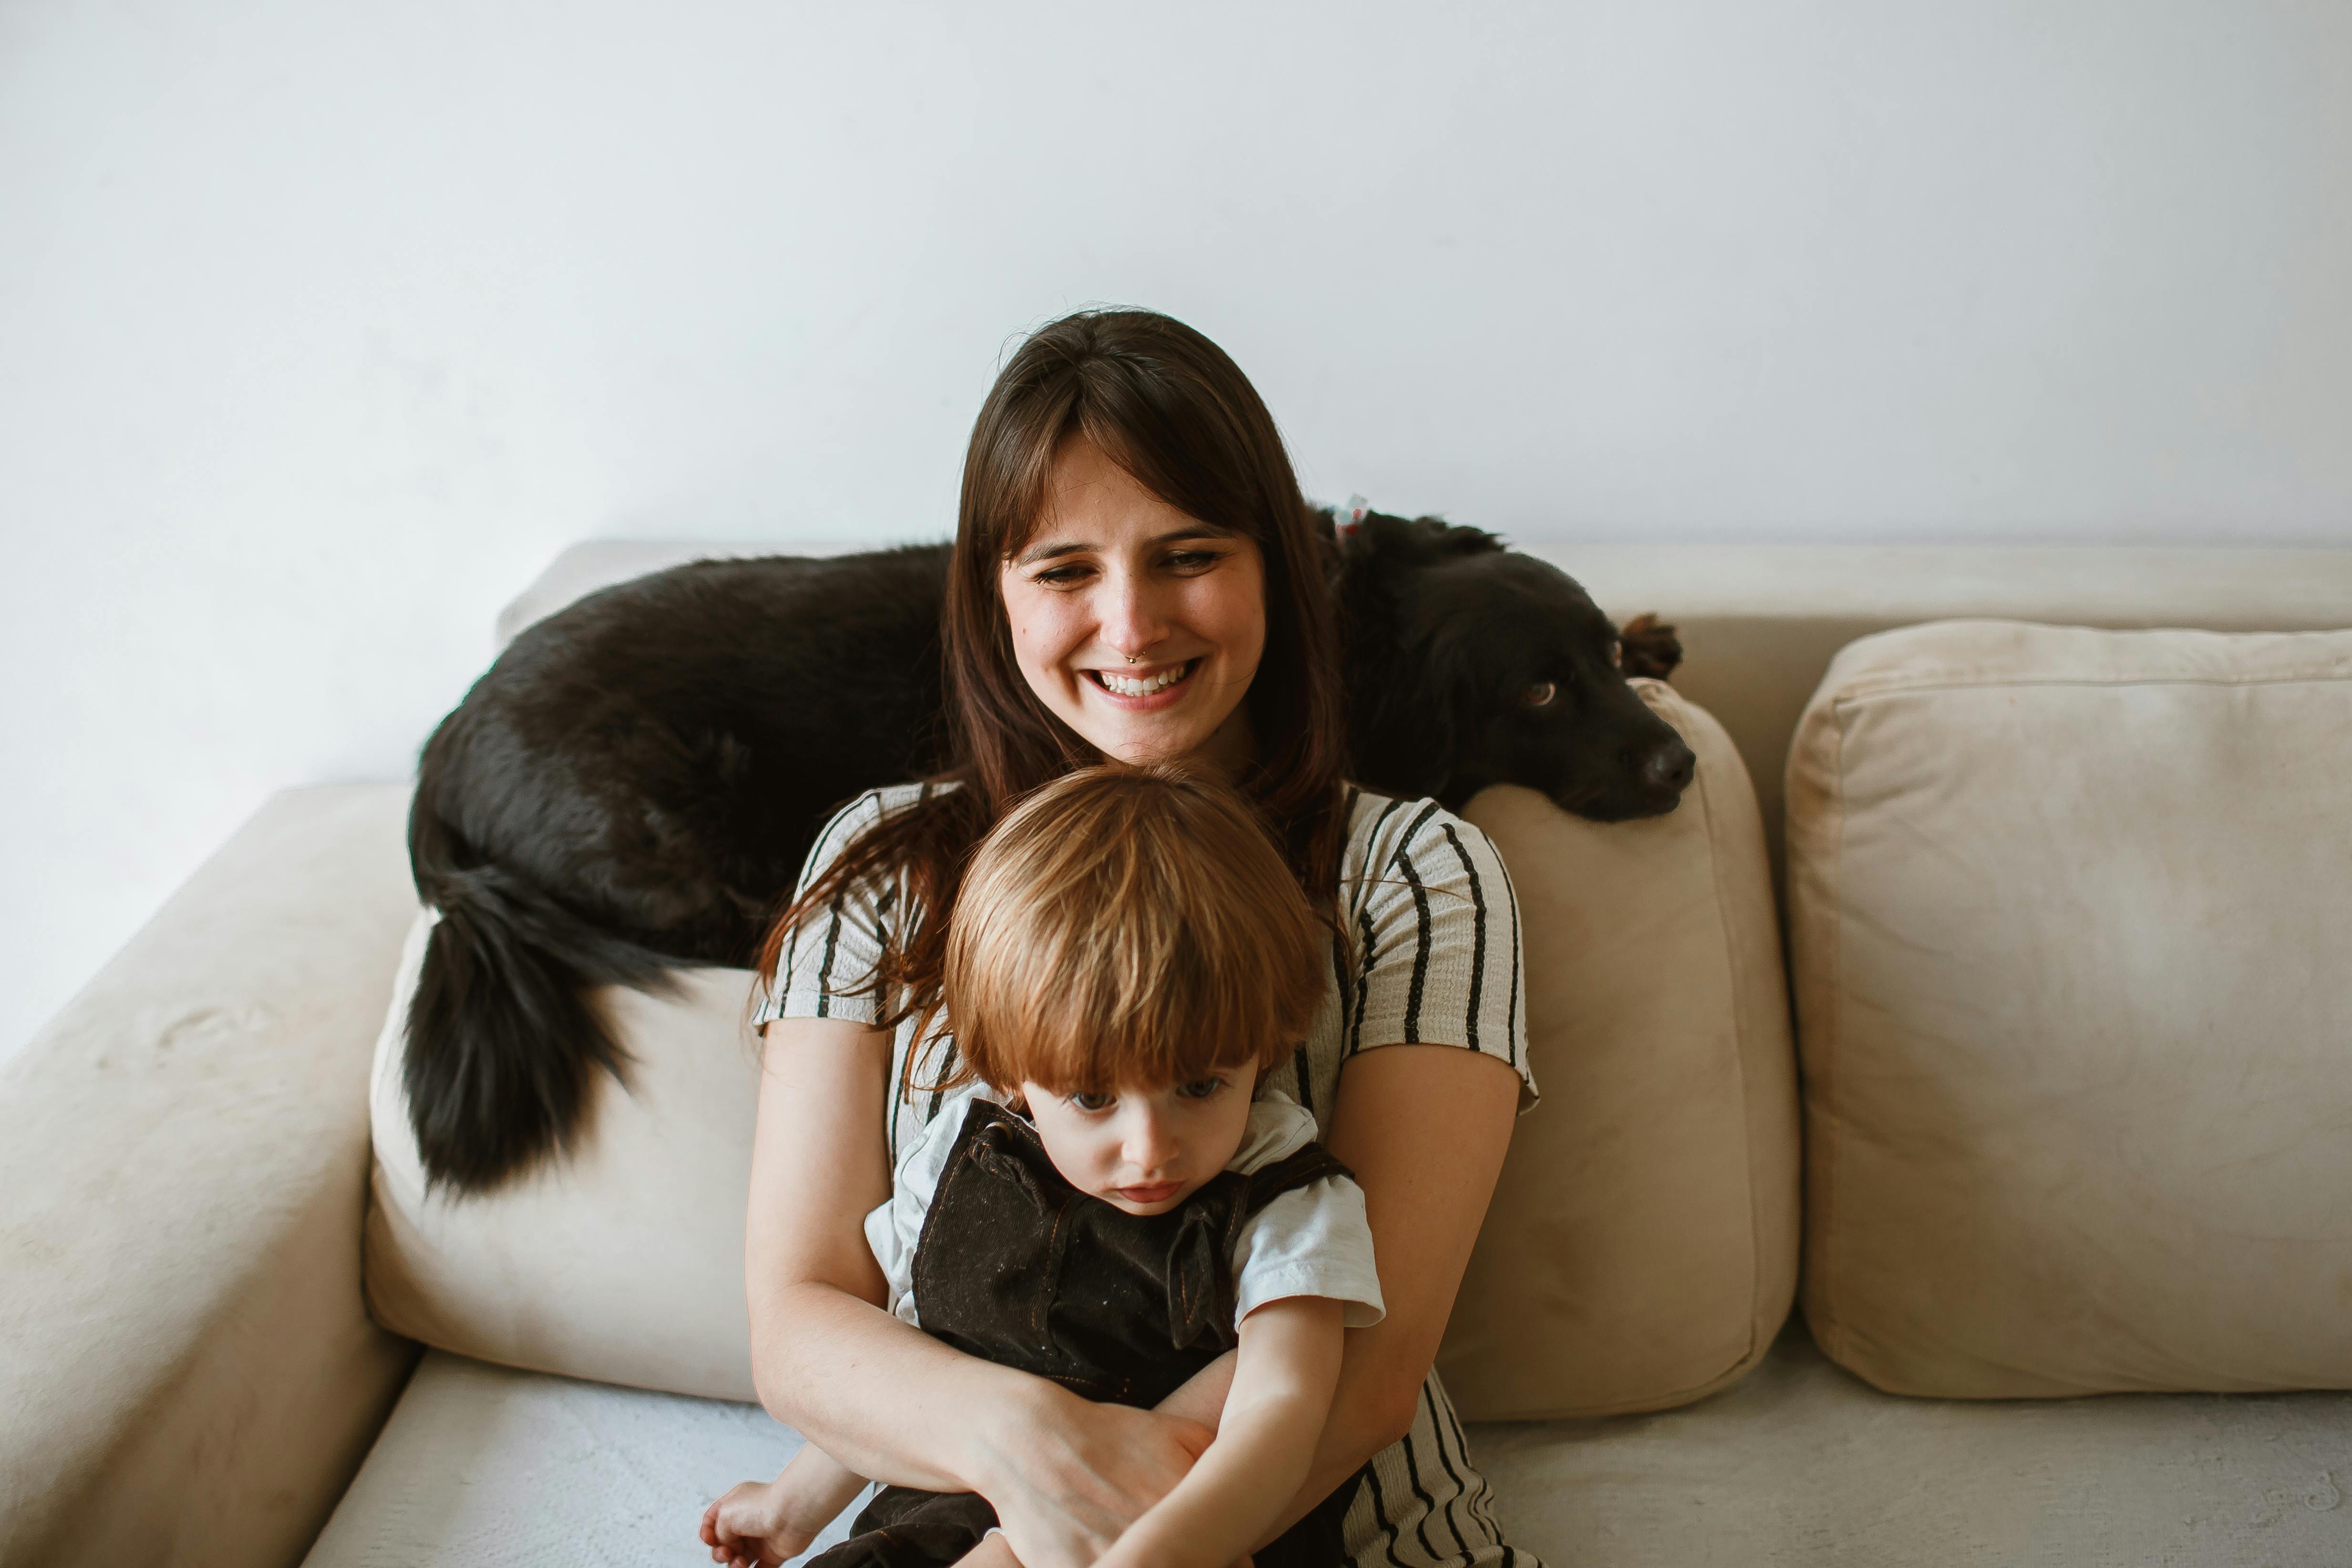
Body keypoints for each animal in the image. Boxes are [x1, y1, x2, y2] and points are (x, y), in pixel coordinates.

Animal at [409, 512, 1693, 1189]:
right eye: (1537, 693)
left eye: (1595, 659)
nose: (1680, 766)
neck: (1344, 622)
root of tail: (443, 740)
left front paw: (1656, 638)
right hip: (676, 832)